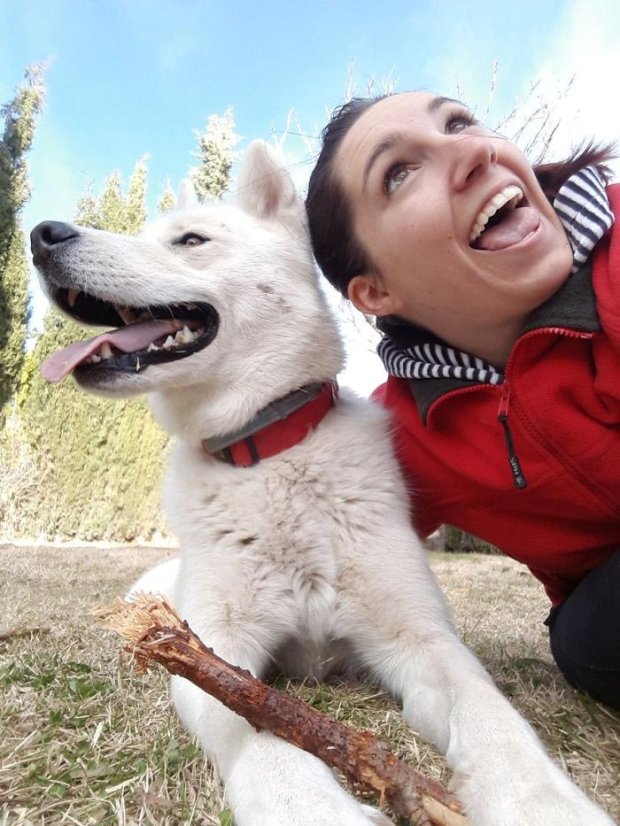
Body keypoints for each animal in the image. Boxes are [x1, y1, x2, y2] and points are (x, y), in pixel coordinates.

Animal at [31, 145, 612, 820]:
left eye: (191, 240)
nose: (41, 235)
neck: (270, 453)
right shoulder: (213, 649)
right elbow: (250, 725)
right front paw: (310, 807)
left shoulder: (422, 640)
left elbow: (492, 715)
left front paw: (542, 801)